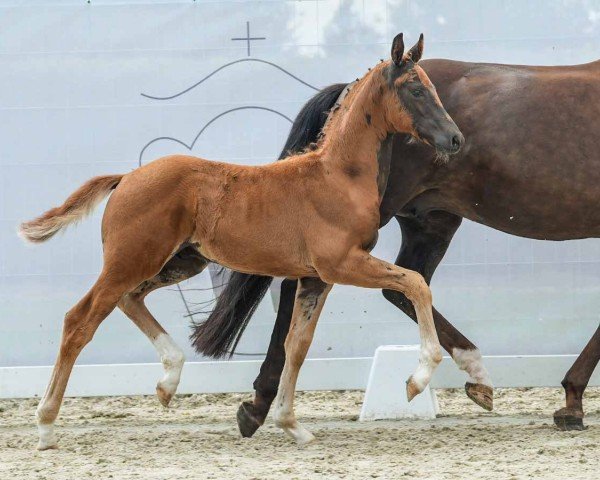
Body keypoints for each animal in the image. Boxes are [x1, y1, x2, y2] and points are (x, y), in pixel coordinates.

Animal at [17, 34, 460, 450]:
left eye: (431, 87)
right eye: (416, 89)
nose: (455, 139)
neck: (337, 177)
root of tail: (126, 177)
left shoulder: (316, 278)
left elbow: (297, 344)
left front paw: (292, 425)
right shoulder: (342, 264)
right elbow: (415, 284)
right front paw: (418, 379)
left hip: (180, 261)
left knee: (130, 299)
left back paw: (168, 380)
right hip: (130, 261)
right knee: (80, 321)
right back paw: (46, 426)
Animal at [193, 58, 600, 436]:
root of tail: (349, 88)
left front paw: (572, 400)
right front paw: (572, 401)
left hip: (432, 222)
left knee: (402, 288)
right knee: (306, 285)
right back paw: (260, 404)